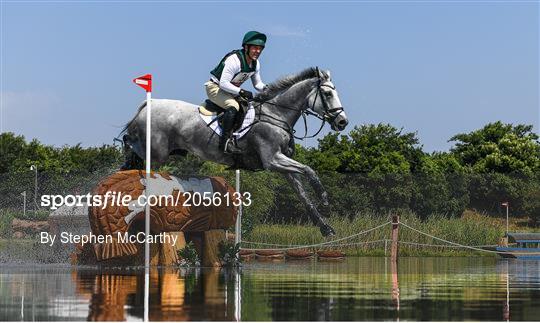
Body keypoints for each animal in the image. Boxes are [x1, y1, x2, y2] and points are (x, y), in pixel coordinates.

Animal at [120, 67, 348, 235]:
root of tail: (147, 105)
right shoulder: (273, 160)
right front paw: (325, 200)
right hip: (155, 153)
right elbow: (310, 170)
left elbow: (303, 194)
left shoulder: (283, 165)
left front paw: (325, 227)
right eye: (327, 94)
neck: (276, 114)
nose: (342, 122)